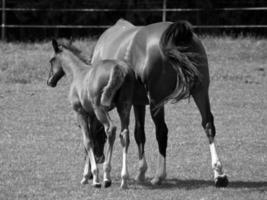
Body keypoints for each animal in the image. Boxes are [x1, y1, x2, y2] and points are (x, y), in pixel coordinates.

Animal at [46, 39, 135, 189]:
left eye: (51, 60)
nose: (49, 81)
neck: (77, 73)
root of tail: (118, 67)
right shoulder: (92, 115)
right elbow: (92, 139)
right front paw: (87, 176)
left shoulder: (80, 112)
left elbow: (87, 141)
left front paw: (92, 177)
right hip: (124, 107)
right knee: (124, 135)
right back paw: (124, 179)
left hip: (100, 108)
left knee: (111, 129)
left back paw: (106, 177)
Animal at [91, 18, 229, 186]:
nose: (99, 158)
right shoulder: (138, 103)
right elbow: (139, 133)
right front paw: (141, 171)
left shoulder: (137, 103)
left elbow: (140, 133)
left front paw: (141, 172)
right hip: (200, 91)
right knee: (208, 123)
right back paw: (219, 174)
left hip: (157, 102)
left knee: (161, 131)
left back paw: (159, 176)